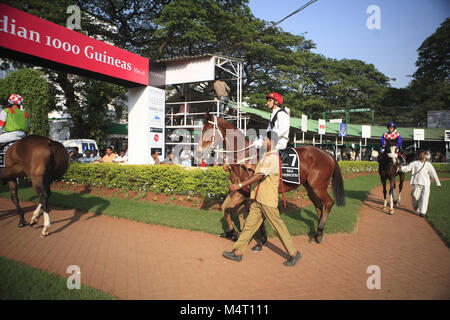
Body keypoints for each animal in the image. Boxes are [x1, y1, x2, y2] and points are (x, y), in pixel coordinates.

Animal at [195, 114, 346, 244]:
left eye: (207, 130)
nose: (197, 152)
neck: (244, 156)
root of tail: (327, 153)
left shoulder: (248, 191)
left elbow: (241, 212)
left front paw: (245, 235)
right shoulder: (240, 191)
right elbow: (227, 209)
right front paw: (236, 232)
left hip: (318, 186)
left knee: (328, 203)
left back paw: (319, 232)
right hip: (310, 188)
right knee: (319, 207)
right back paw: (317, 234)